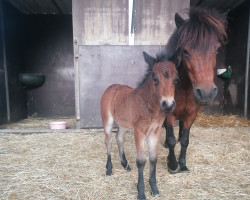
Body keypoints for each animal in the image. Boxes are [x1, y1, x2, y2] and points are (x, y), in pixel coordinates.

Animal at [100, 51, 179, 198]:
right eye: (155, 79)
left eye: (176, 80)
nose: (168, 105)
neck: (149, 106)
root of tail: (112, 86)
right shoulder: (139, 131)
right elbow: (141, 161)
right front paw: (141, 191)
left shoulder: (155, 131)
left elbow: (153, 158)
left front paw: (154, 189)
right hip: (107, 121)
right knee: (109, 141)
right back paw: (108, 169)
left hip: (123, 123)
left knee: (119, 138)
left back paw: (125, 164)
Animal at [163, 7, 228, 173]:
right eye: (185, 51)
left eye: (217, 50)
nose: (206, 93)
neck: (185, 89)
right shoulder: (169, 115)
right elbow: (171, 139)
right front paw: (172, 164)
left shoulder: (191, 115)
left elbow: (185, 140)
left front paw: (183, 164)